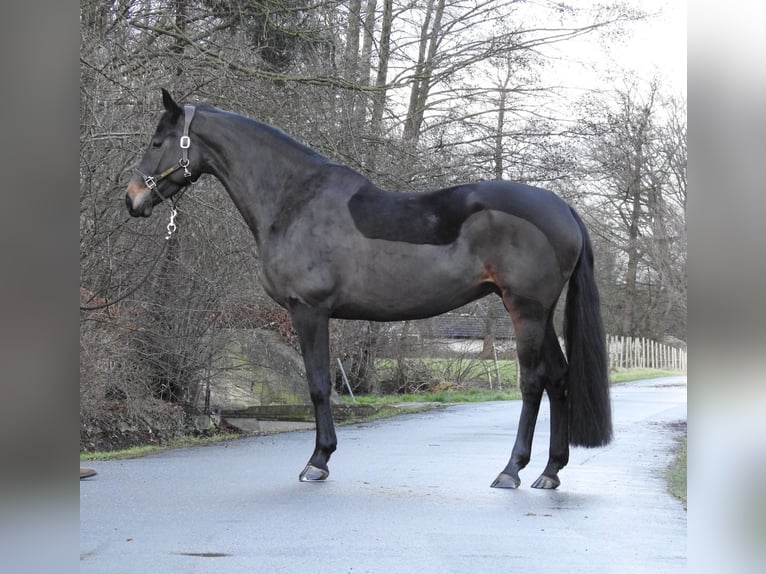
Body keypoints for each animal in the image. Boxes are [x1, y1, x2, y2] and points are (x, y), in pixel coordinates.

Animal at [129, 90, 616, 490]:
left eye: (157, 142)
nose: (133, 198)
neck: (294, 200)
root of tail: (563, 208)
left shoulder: (308, 311)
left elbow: (319, 385)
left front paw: (318, 461)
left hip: (526, 310)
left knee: (534, 381)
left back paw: (511, 470)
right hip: (539, 313)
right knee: (559, 377)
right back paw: (550, 472)